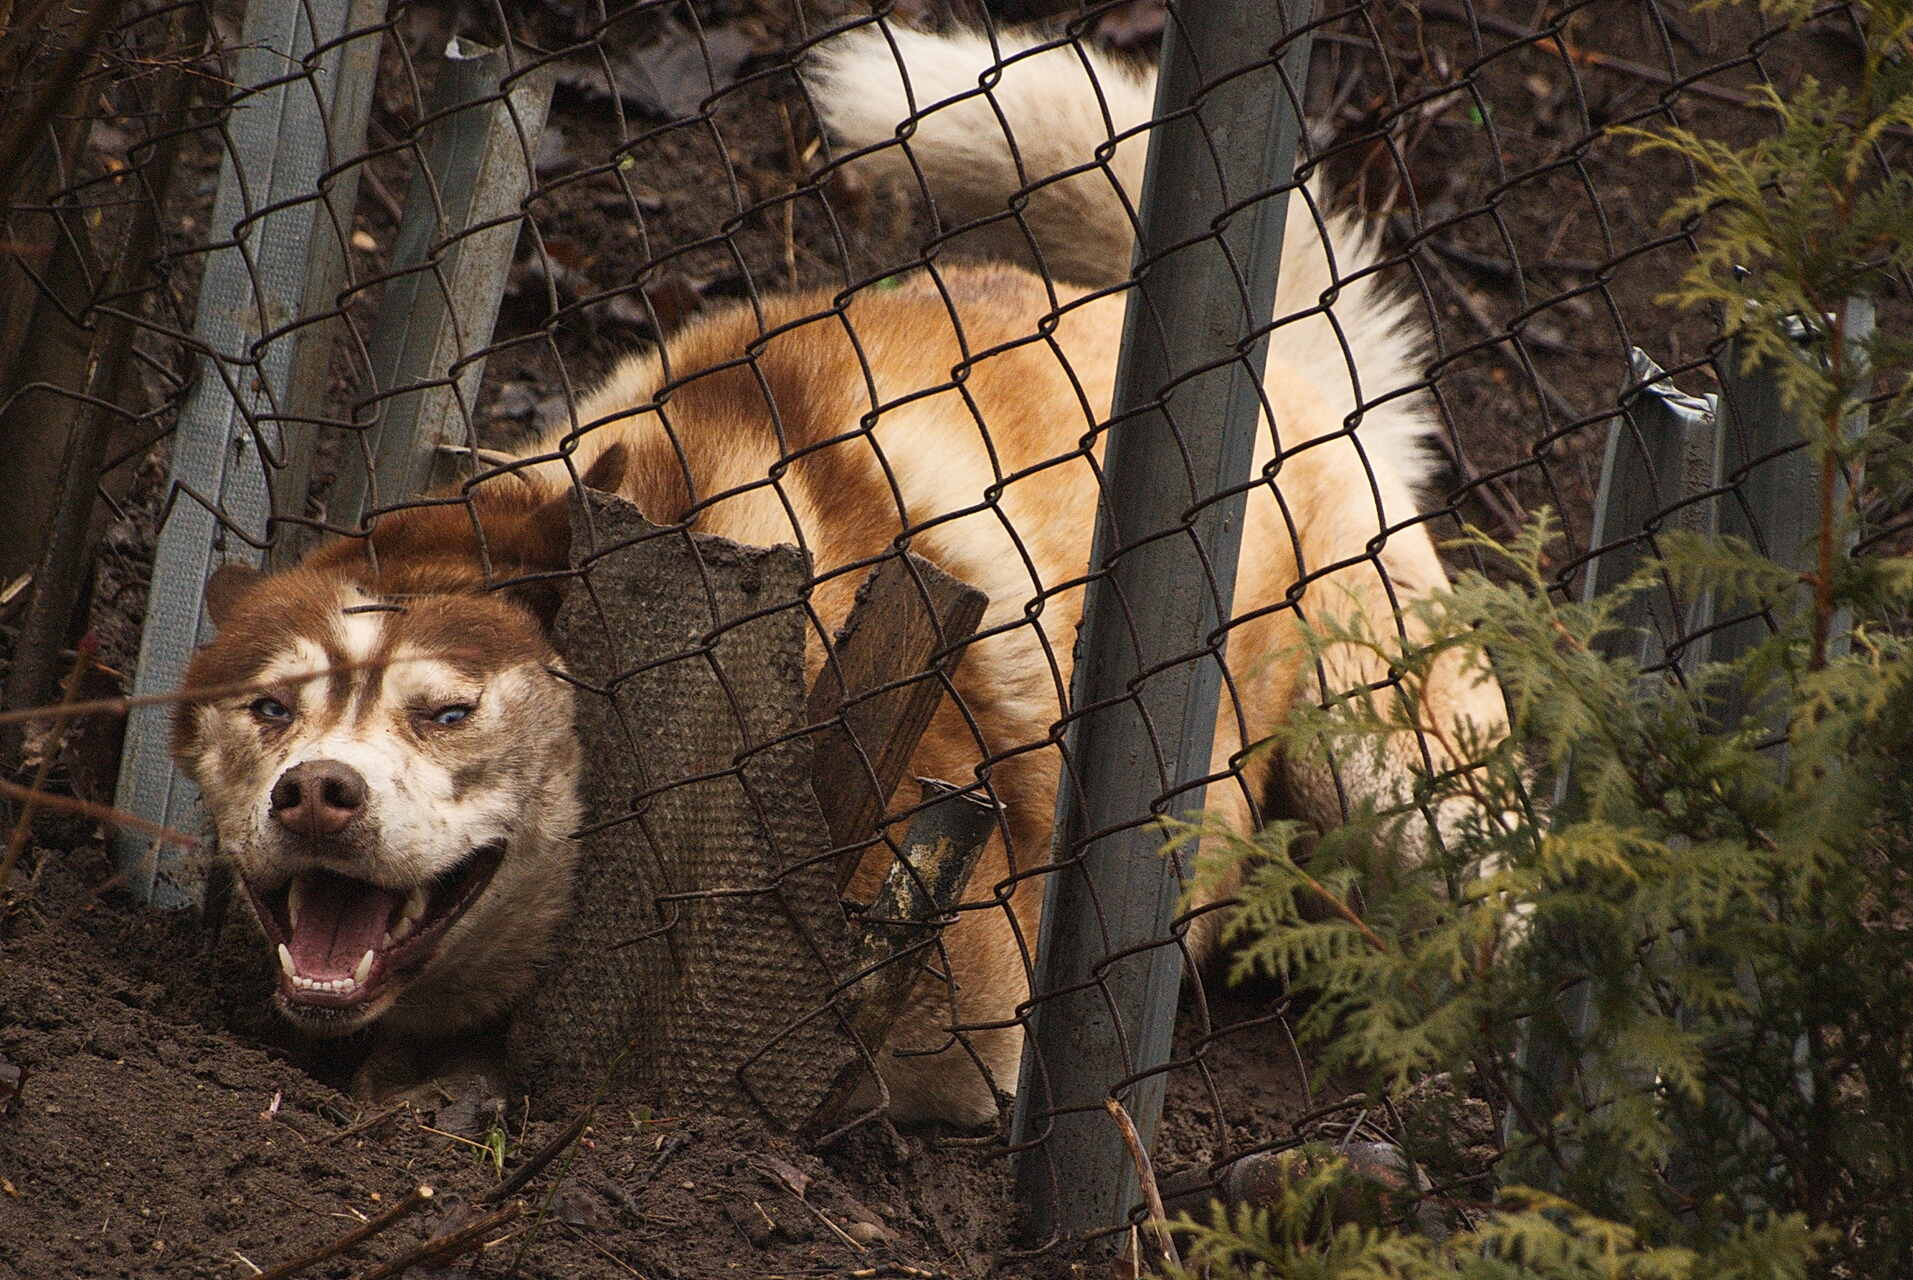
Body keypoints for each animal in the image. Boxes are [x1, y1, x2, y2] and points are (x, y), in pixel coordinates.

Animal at [172, 19, 1507, 1117]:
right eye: (271, 710)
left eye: (447, 710)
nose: (314, 793)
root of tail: (1278, 363)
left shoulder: (970, 995)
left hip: (1384, 765)